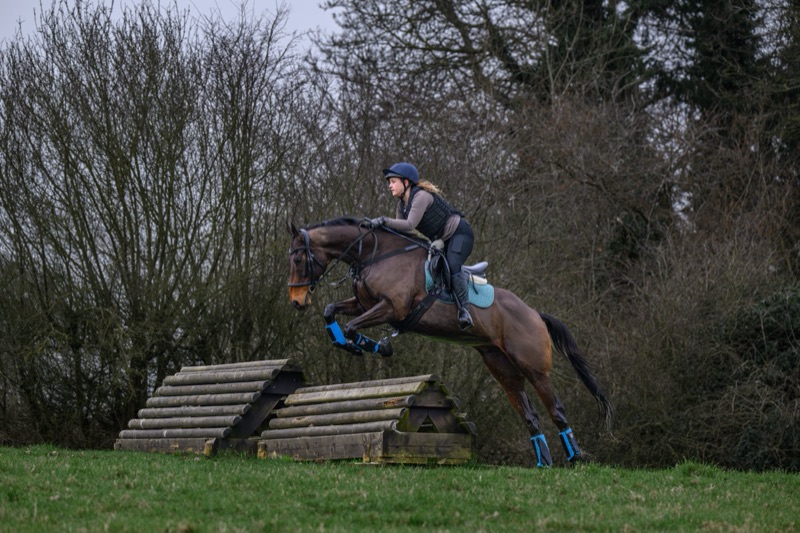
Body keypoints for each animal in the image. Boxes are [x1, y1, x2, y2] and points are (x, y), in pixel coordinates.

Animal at [287, 216, 612, 466]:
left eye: (299, 258)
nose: (297, 302)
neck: (375, 254)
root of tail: (535, 313)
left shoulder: (392, 308)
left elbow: (353, 326)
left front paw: (373, 345)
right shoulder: (363, 303)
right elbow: (332, 311)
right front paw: (346, 342)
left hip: (533, 368)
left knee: (556, 408)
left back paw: (575, 457)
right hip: (501, 367)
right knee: (529, 413)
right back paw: (543, 461)